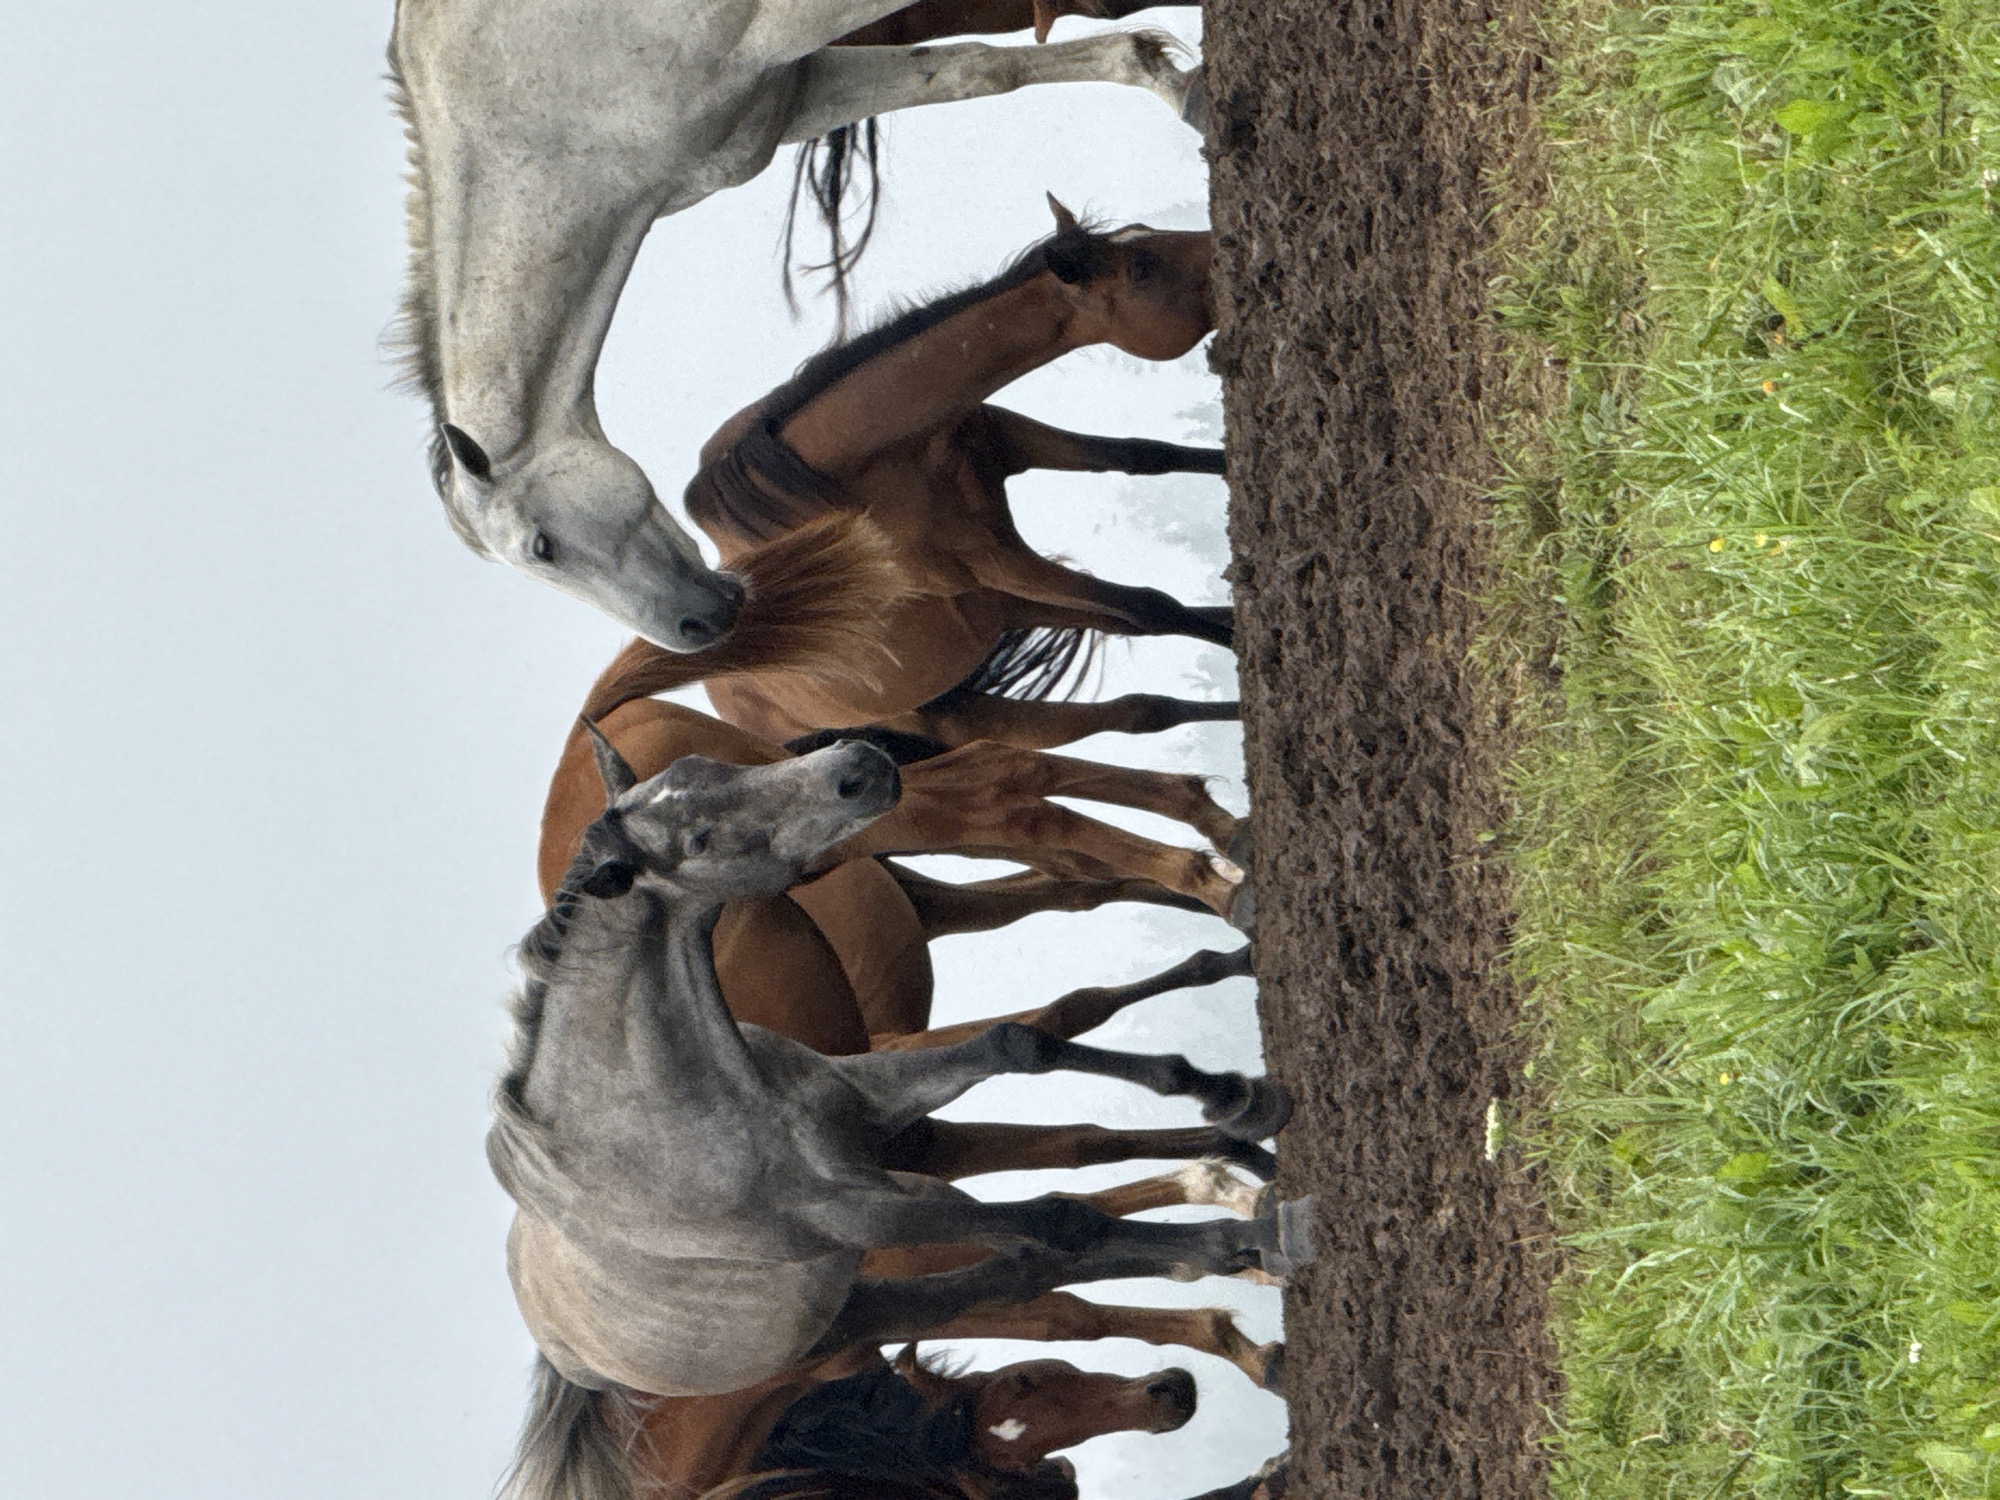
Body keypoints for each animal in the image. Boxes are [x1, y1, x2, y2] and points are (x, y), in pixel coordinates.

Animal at [686, 204, 1234, 750]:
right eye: (1143, 269)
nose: (1221, 248)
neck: (859, 466)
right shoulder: (995, 561)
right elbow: (1151, 606)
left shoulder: (1005, 439)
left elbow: (1144, 454)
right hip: (971, 709)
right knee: (1138, 710)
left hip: (1004, 609)